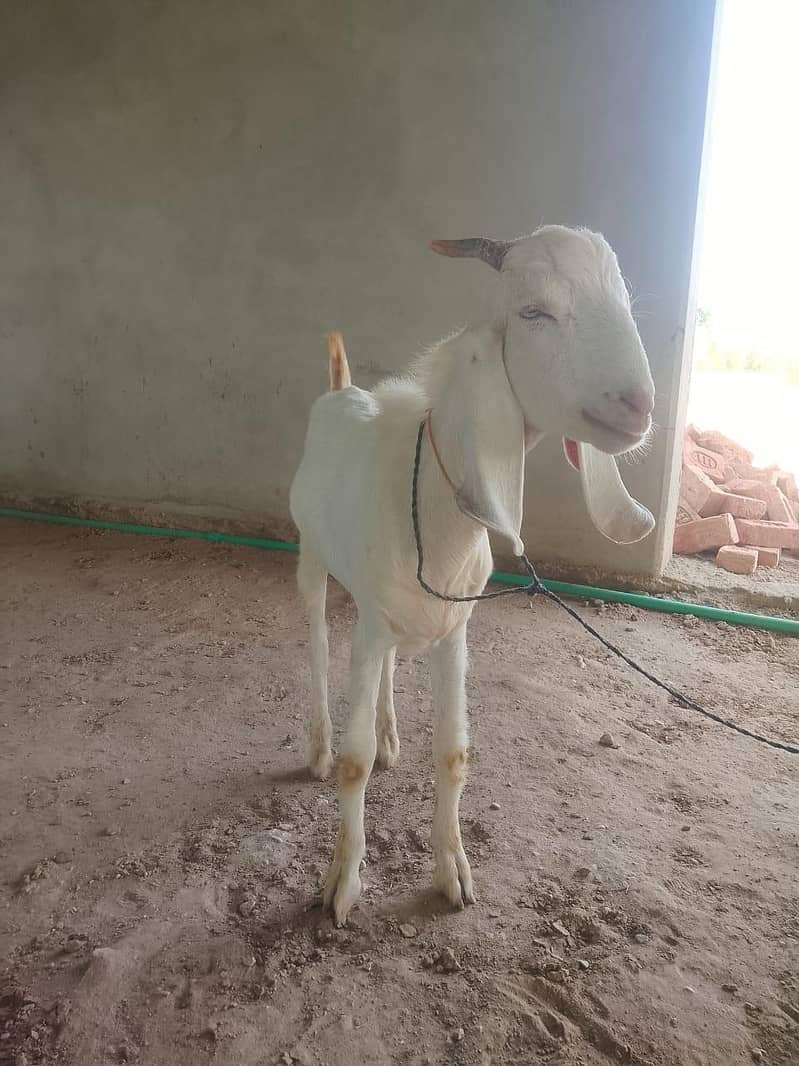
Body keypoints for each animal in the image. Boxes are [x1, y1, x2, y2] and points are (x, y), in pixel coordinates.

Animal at [289, 225, 655, 925]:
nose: (639, 405)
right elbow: (354, 764)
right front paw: (341, 884)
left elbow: (454, 752)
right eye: (533, 312)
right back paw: (317, 749)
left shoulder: (454, 628)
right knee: (318, 647)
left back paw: (392, 735)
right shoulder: (368, 625)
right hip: (311, 559)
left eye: (626, 299)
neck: (431, 506)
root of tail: (340, 389)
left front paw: (452, 874)